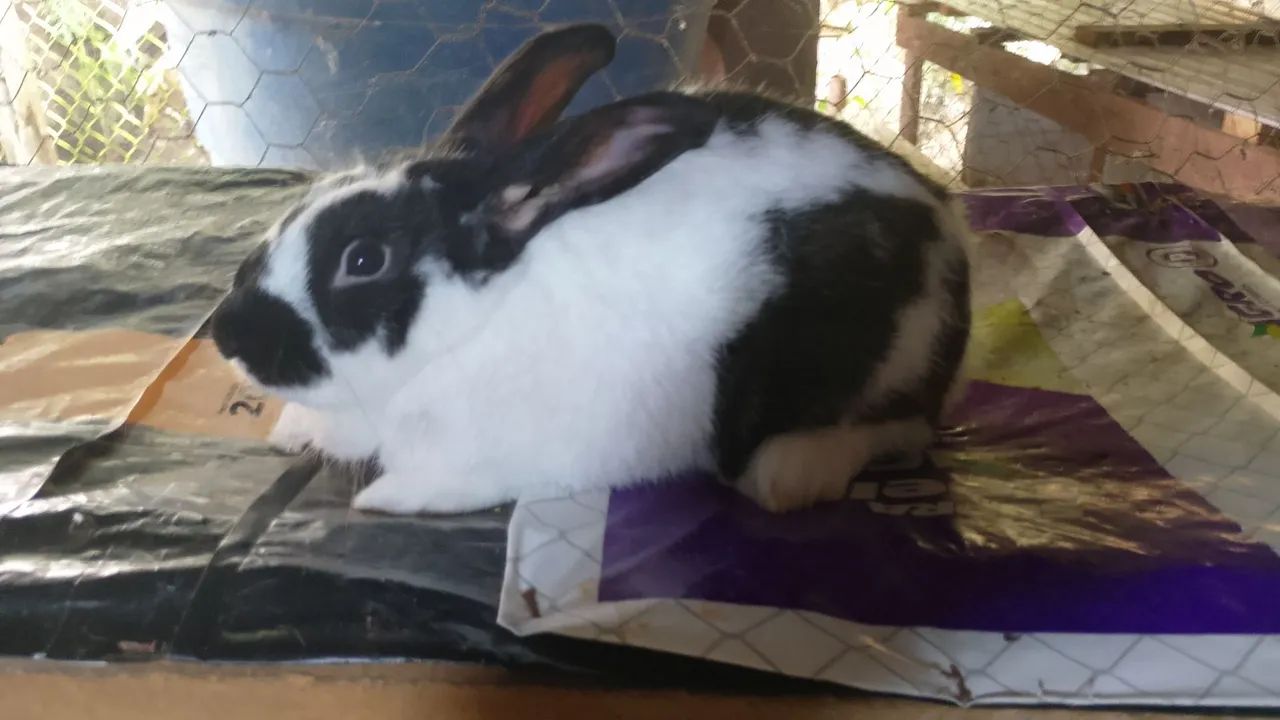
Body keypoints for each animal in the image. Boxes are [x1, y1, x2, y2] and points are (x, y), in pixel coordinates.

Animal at [209, 23, 972, 516]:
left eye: (363, 260)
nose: (226, 334)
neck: (472, 327)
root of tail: (948, 235)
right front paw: (290, 432)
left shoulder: (490, 458)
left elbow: (431, 486)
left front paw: (382, 499)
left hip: (879, 367)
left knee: (896, 428)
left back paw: (787, 475)